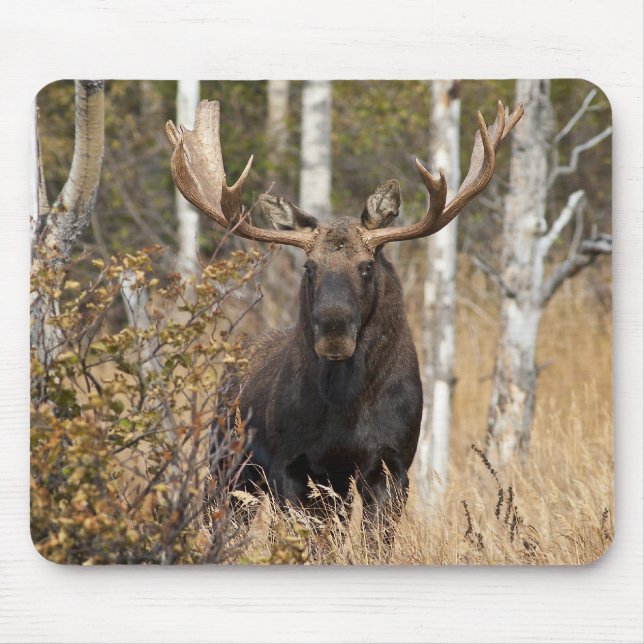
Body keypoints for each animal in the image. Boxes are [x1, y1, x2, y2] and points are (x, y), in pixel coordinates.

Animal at [165, 98, 523, 539]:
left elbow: (373, 542)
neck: (346, 410)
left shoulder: (392, 464)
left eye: (367, 266)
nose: (334, 333)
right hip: (227, 463)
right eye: (309, 267)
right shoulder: (294, 466)